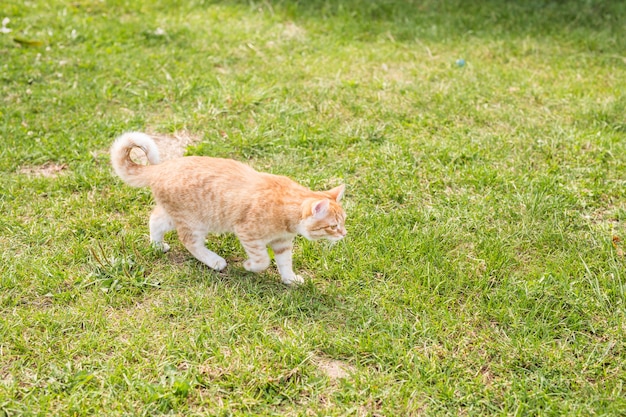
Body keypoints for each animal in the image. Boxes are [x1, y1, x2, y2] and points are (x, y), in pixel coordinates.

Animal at [111, 132, 346, 284]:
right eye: (333, 226)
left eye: (343, 222)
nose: (344, 234)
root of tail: (160, 167)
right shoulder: (247, 233)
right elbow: (262, 260)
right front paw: (249, 266)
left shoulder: (282, 243)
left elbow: (285, 262)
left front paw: (289, 279)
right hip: (194, 222)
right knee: (189, 241)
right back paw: (214, 261)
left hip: (174, 215)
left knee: (155, 220)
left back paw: (157, 245)